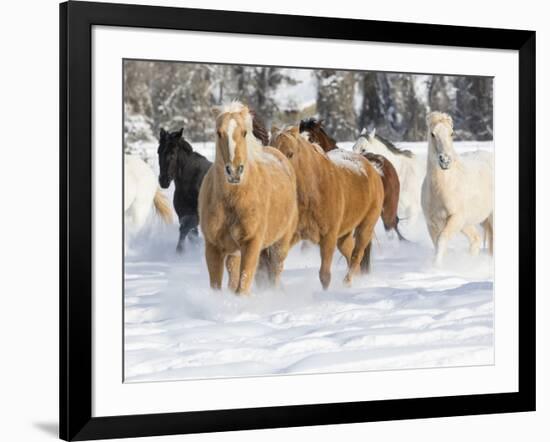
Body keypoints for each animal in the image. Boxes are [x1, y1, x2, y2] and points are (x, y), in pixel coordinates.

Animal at [199, 103, 300, 296]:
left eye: (244, 132)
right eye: (218, 132)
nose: (234, 171)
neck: (233, 200)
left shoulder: (252, 243)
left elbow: (243, 286)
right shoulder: (213, 247)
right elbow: (217, 285)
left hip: (280, 244)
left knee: (276, 271)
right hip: (235, 251)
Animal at [270, 126, 384, 288]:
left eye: (290, 153)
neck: (314, 191)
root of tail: (373, 169)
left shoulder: (328, 236)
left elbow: (324, 275)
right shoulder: (293, 235)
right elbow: (277, 265)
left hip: (366, 226)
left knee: (357, 255)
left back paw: (346, 284)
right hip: (344, 235)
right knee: (350, 252)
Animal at [422, 112, 496, 264]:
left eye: (451, 133)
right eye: (432, 134)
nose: (445, 160)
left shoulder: (455, 218)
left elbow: (442, 241)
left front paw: (436, 267)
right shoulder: (431, 223)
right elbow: (436, 244)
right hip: (468, 223)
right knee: (476, 240)